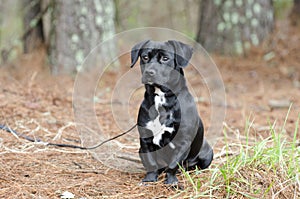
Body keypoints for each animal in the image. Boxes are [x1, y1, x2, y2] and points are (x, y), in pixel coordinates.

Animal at [131, 39, 213, 184]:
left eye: (165, 58)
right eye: (145, 57)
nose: (149, 72)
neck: (161, 99)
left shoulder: (183, 142)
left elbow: (174, 164)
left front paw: (171, 181)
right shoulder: (145, 139)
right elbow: (151, 162)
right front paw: (150, 179)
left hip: (208, 153)